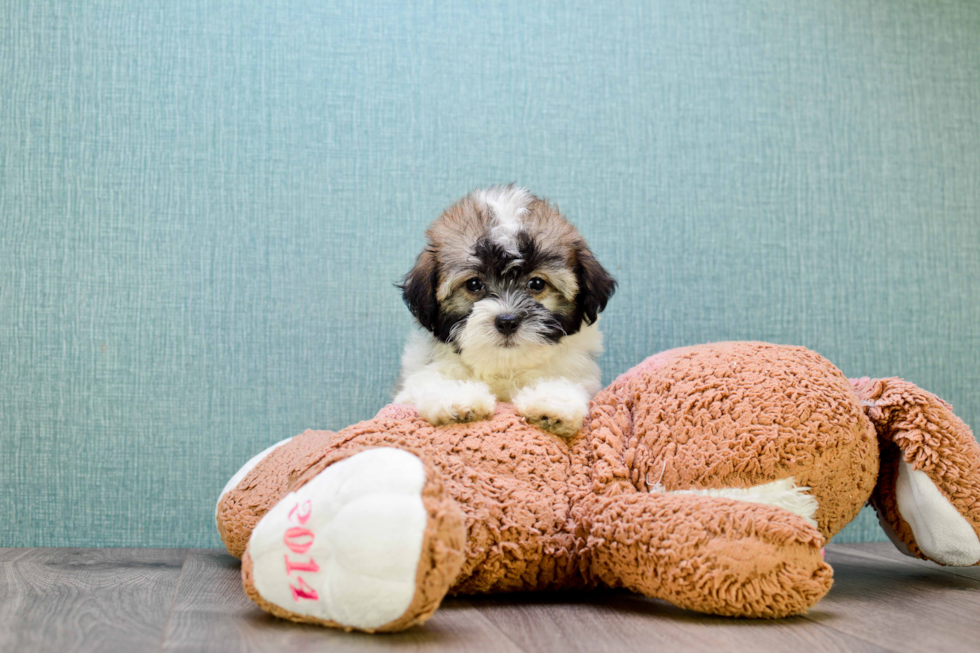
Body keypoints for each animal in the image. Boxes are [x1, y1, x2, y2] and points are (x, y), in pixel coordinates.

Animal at [394, 186, 616, 436]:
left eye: (537, 283)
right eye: (474, 284)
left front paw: (553, 402)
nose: (507, 321)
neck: (503, 366)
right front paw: (459, 398)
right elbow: (432, 380)